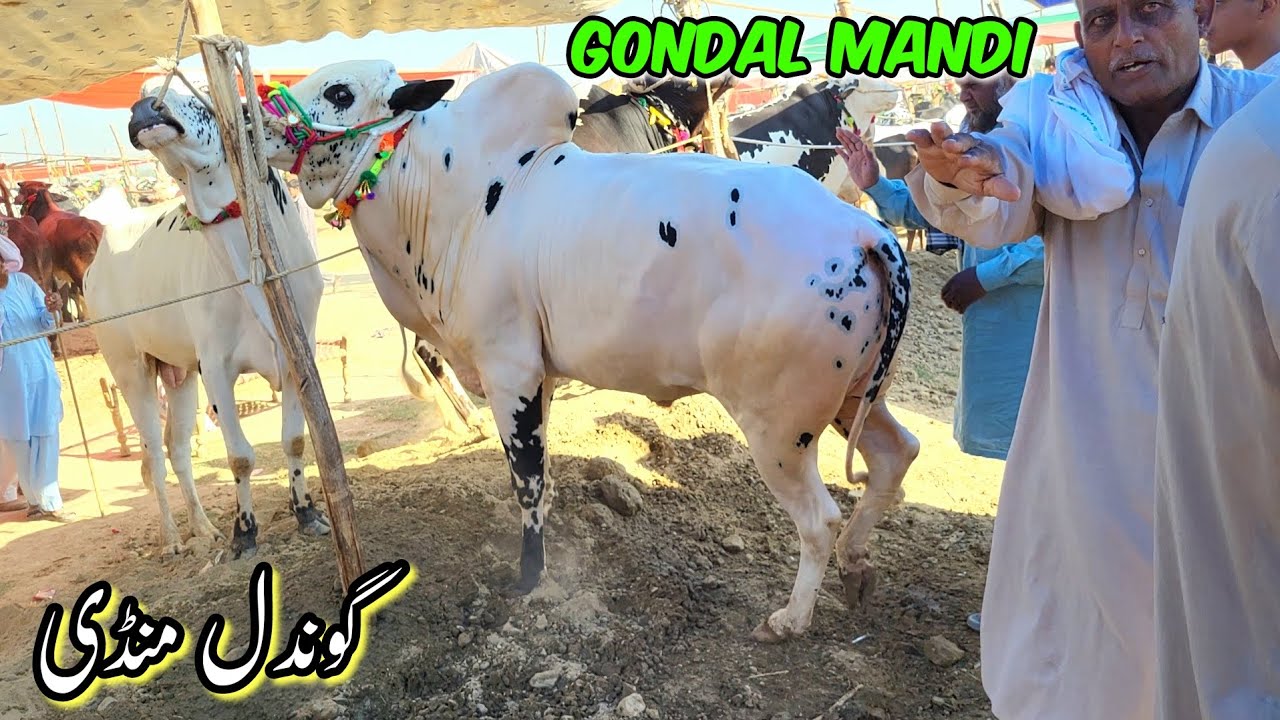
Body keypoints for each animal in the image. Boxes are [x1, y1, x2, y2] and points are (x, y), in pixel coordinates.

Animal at [83, 85, 333, 559]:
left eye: (203, 96)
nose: (145, 108)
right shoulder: (216, 368)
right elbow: (240, 457)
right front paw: (244, 531)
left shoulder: (299, 353)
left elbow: (294, 440)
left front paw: (307, 513)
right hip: (129, 367)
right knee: (153, 456)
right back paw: (173, 538)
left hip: (179, 374)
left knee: (177, 449)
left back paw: (203, 527)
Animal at [257, 61, 921, 643]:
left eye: (339, 92)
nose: (258, 114)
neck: (455, 194)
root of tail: (864, 231)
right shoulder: (539, 377)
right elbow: (544, 476)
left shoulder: (511, 369)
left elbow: (526, 480)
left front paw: (531, 576)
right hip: (854, 398)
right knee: (896, 455)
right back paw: (857, 567)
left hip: (778, 426)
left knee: (819, 520)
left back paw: (790, 618)